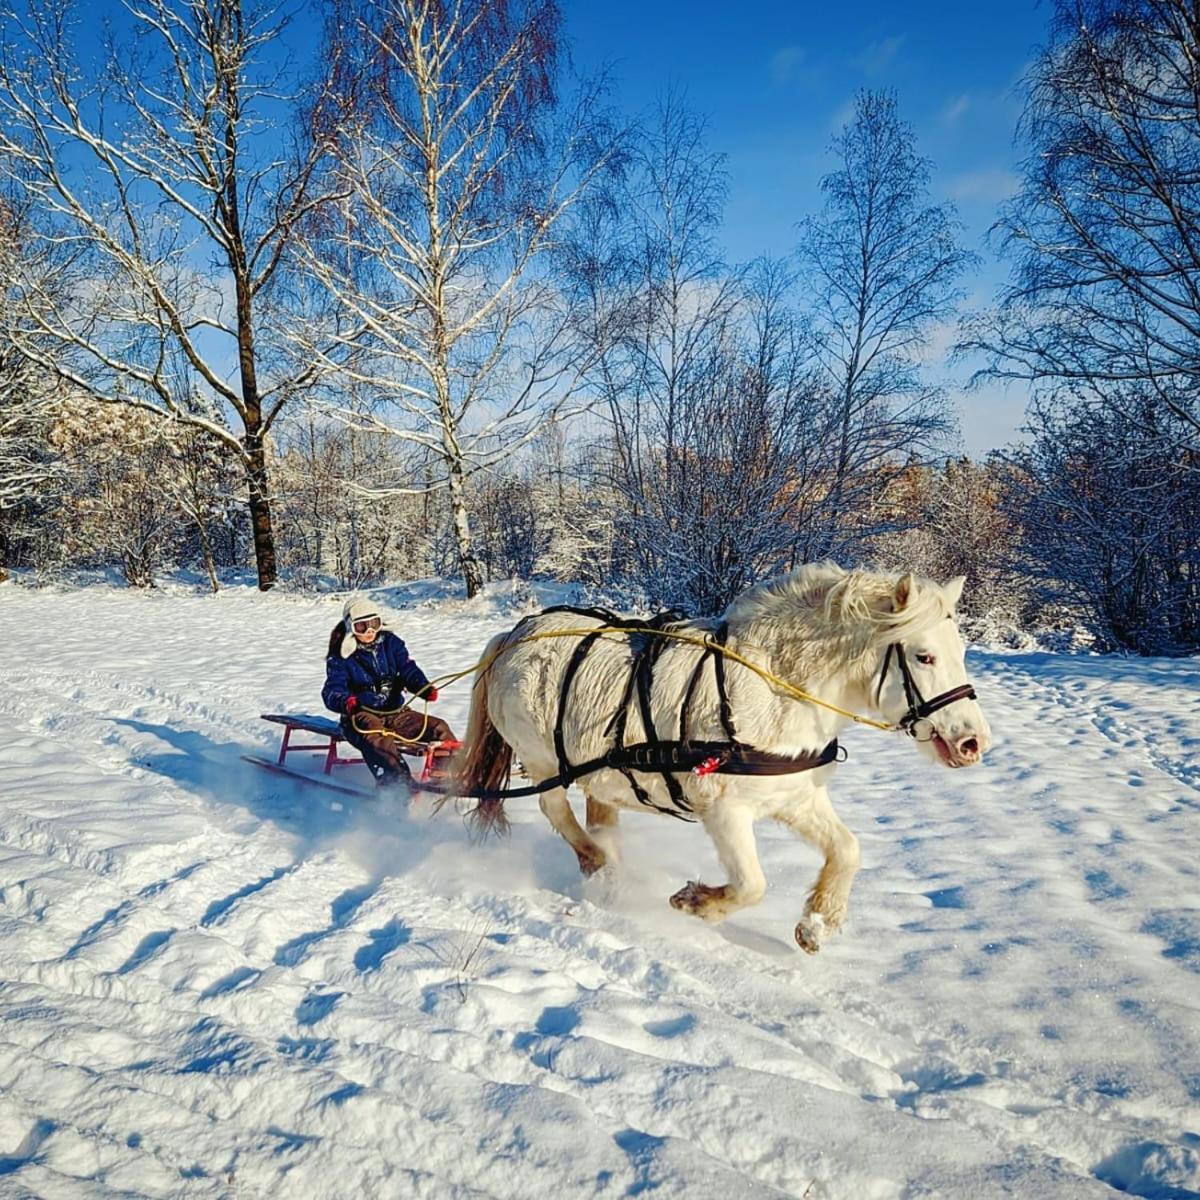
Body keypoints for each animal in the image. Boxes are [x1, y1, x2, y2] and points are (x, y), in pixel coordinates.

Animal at [453, 559, 988, 945]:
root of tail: (515, 635)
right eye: (924, 656)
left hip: (598, 768)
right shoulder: (725, 810)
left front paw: (817, 922)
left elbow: (847, 850)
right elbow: (752, 884)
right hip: (544, 760)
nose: (973, 742)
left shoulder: (796, 797)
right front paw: (697, 902)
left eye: (960, 652)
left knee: (599, 810)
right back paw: (595, 860)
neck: (775, 687)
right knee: (553, 806)